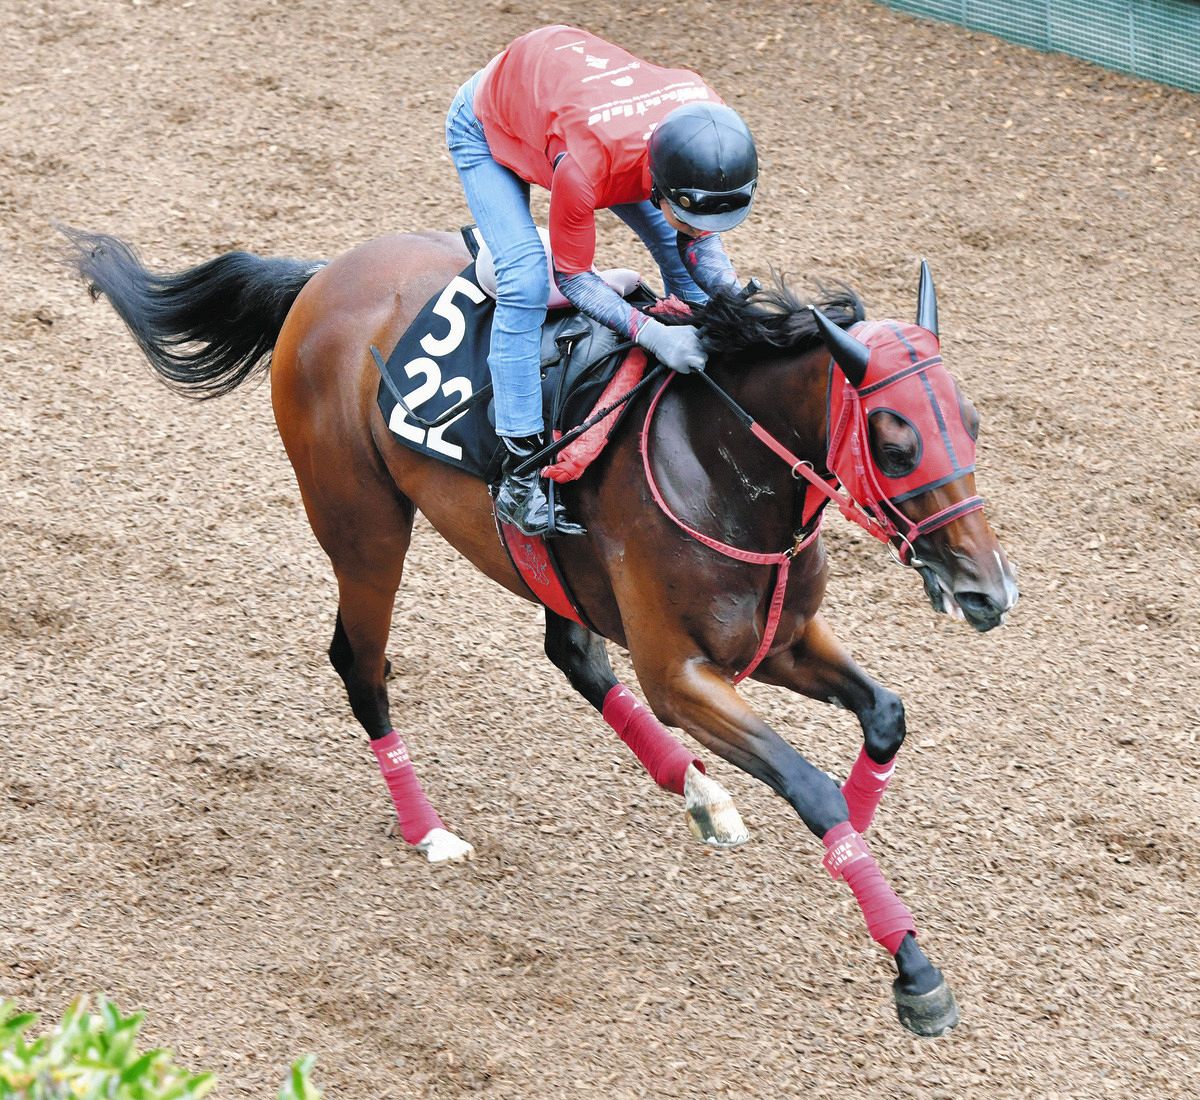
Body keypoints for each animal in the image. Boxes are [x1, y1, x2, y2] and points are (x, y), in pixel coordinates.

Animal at [63, 225, 1018, 1037]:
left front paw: (850, 842)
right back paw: (430, 829)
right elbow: (810, 786)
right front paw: (913, 969)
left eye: (971, 422)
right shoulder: (680, 676)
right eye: (895, 443)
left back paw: (698, 792)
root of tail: (322, 277)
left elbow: (885, 714)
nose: (989, 590)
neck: (724, 462)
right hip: (363, 527)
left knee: (571, 654)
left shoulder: (779, 640)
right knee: (360, 664)